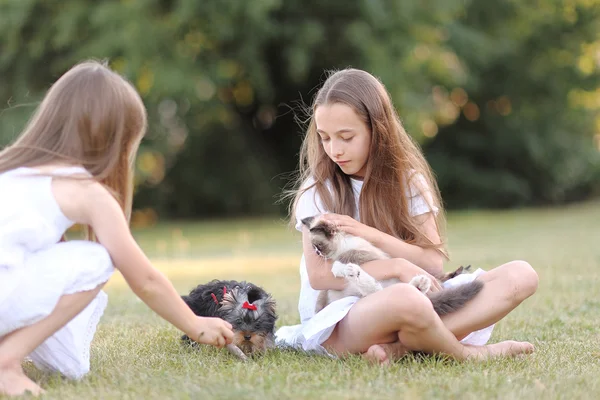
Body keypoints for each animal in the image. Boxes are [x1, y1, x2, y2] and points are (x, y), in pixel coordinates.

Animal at [300, 214, 482, 314]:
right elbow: (321, 298)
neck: (343, 243)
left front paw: (337, 267)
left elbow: (347, 255)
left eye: (318, 246)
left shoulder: (370, 254)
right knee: (379, 290)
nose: (317, 253)